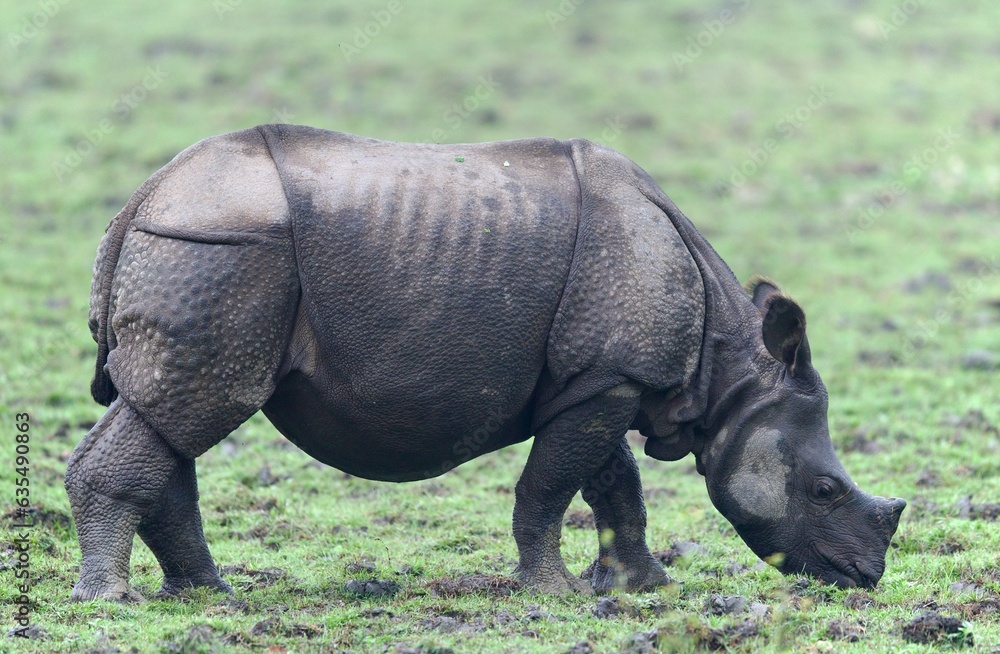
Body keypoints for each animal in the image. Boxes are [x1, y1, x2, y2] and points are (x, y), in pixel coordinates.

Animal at [66, 125, 905, 601]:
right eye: (825, 490)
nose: (865, 580)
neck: (728, 376)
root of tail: (142, 198)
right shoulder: (608, 380)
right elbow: (550, 487)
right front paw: (556, 596)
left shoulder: (598, 380)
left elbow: (612, 485)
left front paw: (641, 586)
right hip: (221, 250)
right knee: (194, 406)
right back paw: (112, 603)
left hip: (202, 249)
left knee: (170, 417)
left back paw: (208, 595)